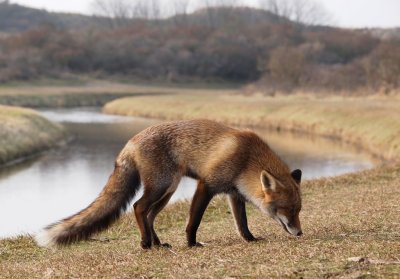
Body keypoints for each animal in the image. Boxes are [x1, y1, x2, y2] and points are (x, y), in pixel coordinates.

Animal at [35, 120, 304, 249]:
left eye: (298, 210)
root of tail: (129, 143)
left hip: (167, 191)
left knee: (149, 215)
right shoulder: (206, 185)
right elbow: (193, 221)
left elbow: (242, 224)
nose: (300, 233)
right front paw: (192, 244)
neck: (247, 158)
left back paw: (157, 243)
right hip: (161, 186)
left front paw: (250, 239)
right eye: (288, 210)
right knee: (138, 208)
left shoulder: (233, 193)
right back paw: (146, 244)